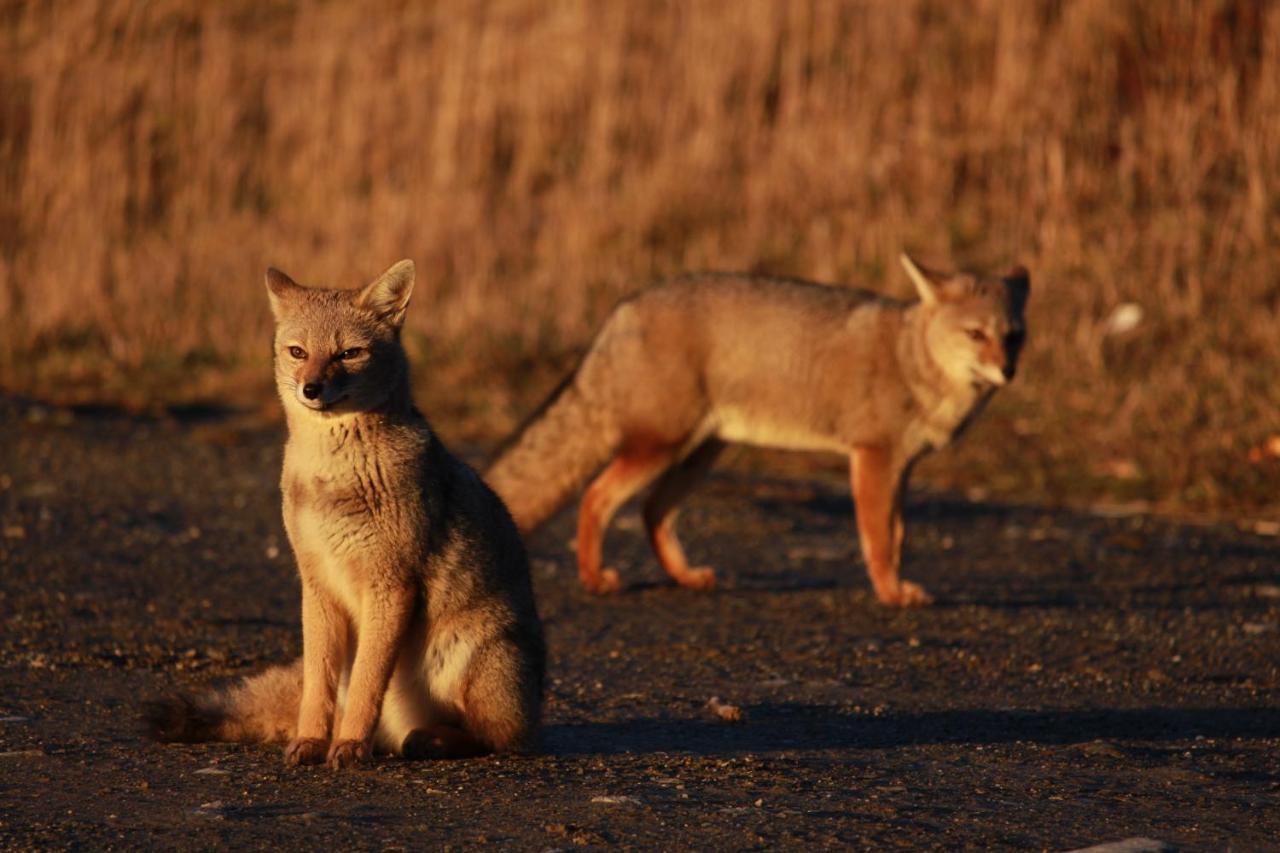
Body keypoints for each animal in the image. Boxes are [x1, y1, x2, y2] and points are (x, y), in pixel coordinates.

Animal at [146, 257, 545, 763]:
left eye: (349, 353)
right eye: (298, 352)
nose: (311, 389)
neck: (331, 480)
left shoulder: (390, 586)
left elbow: (367, 684)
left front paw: (351, 744)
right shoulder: (317, 583)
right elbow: (318, 683)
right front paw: (312, 741)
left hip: (476, 661)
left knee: (497, 739)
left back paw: (426, 739)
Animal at [486, 252, 1029, 604]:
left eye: (1014, 337)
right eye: (976, 335)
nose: (1008, 372)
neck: (912, 360)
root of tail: (628, 303)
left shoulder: (904, 468)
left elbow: (897, 535)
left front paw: (896, 585)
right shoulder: (873, 457)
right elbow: (878, 540)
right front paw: (891, 593)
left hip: (699, 454)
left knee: (651, 510)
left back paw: (685, 576)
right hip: (662, 446)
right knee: (597, 497)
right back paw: (595, 578)